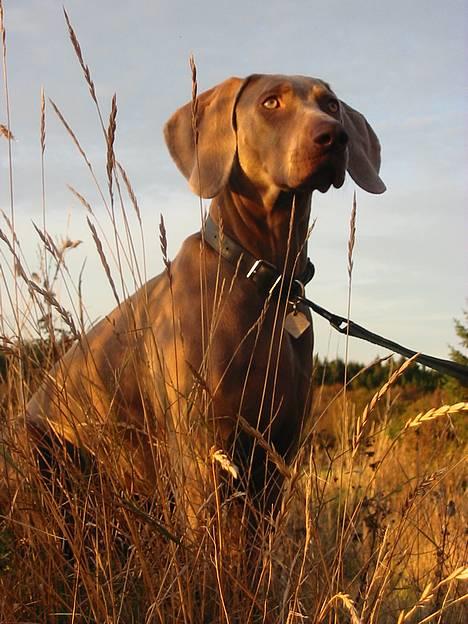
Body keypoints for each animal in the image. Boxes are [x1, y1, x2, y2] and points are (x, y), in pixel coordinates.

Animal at [23, 74, 386, 532]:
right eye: (271, 102)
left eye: (332, 104)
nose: (333, 136)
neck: (263, 277)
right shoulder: (203, 451)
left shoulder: (276, 453)